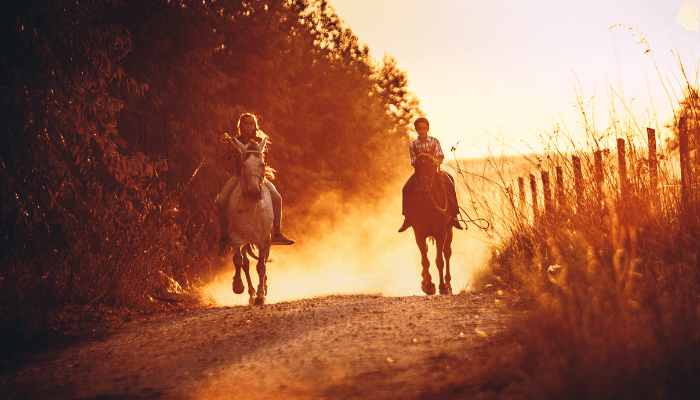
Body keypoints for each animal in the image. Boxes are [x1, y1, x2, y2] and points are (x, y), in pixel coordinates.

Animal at [230, 138, 274, 306]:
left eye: (262, 164)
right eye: (243, 164)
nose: (254, 193)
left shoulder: (264, 240)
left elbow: (261, 267)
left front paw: (261, 296)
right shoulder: (236, 238)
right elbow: (239, 262)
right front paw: (238, 286)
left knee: (263, 261)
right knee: (246, 264)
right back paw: (251, 294)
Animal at [408, 155, 456, 296]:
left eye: (431, 167)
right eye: (416, 167)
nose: (423, 189)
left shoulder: (440, 232)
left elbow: (439, 261)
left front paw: (442, 287)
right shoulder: (419, 233)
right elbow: (425, 260)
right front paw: (428, 285)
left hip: (449, 229)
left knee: (447, 253)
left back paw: (448, 284)